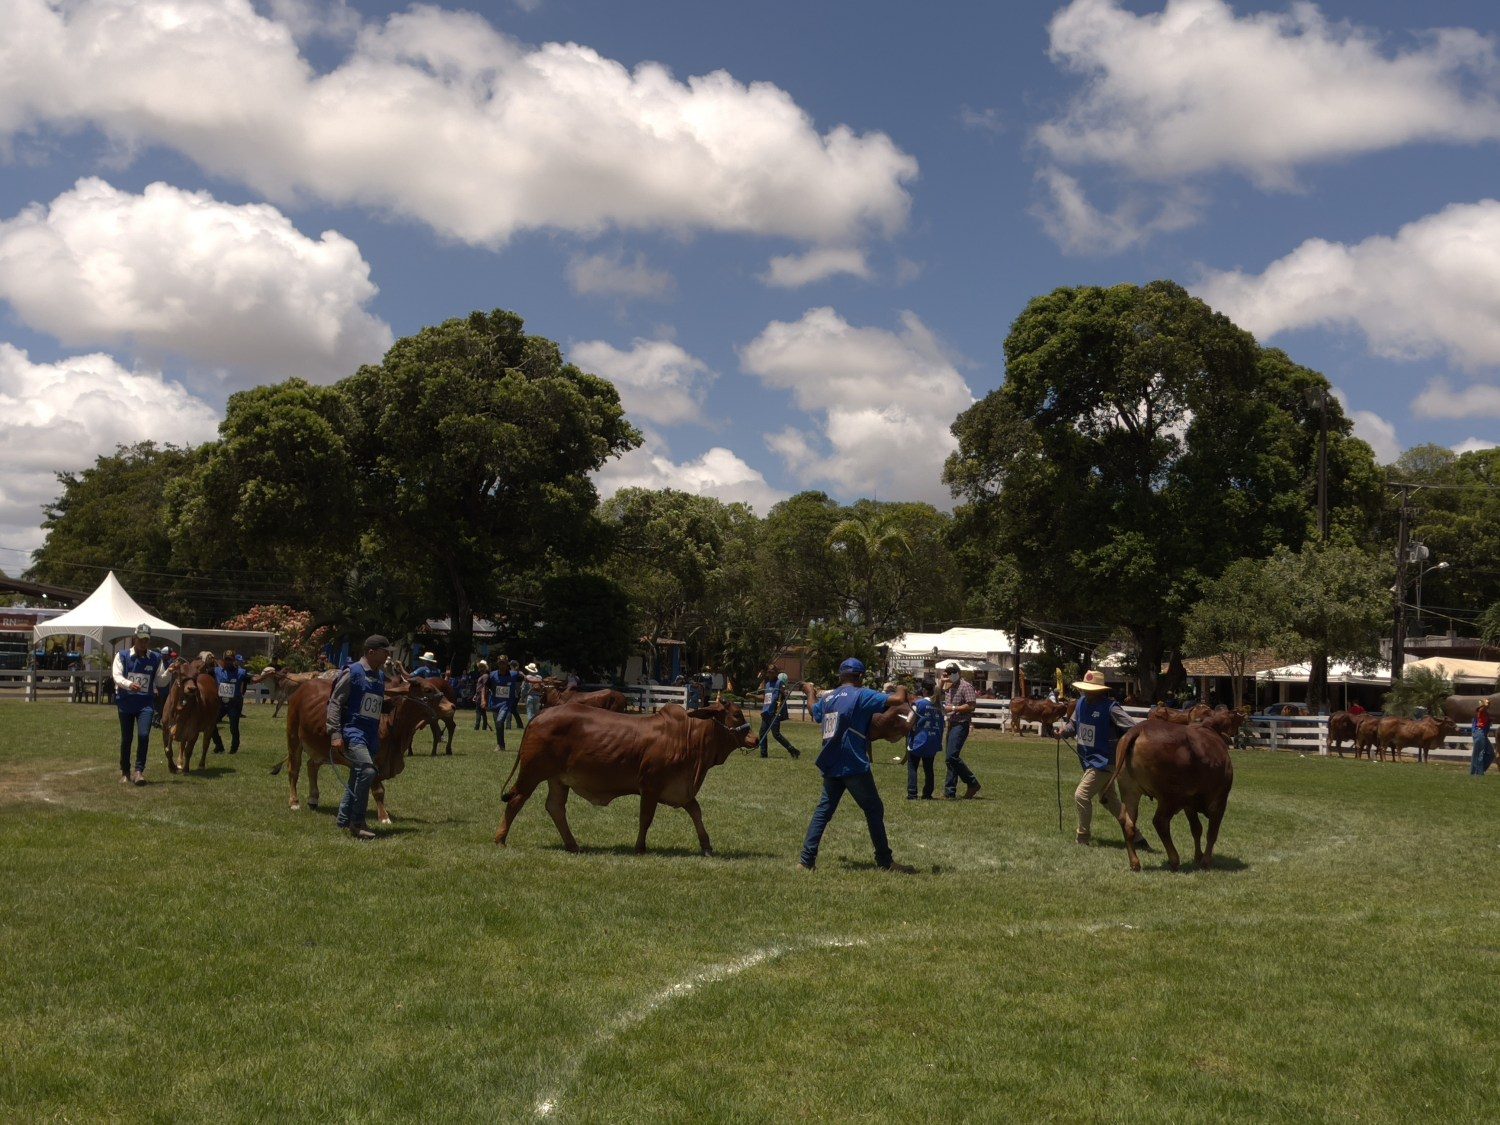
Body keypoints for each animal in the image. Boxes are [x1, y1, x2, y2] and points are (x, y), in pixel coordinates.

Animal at [273, 675, 450, 822]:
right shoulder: (372, 761)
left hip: (321, 747)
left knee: (312, 766)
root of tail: (303, 687)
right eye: (427, 690)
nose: (452, 706)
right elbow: (378, 790)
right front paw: (384, 817)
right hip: (293, 737)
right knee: (294, 769)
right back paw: (294, 802)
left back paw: (313, 799)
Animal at [492, 705, 756, 852]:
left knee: (555, 807)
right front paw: (640, 848)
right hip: (532, 773)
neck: (688, 736)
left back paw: (573, 845)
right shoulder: (650, 786)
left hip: (558, 779)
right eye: (736, 714)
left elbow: (696, 812)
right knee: (516, 800)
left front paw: (706, 845)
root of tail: (541, 713)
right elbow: (646, 819)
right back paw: (500, 840)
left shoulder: (680, 791)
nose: (754, 739)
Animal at [1104, 717, 1230, 876]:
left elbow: (1196, 829)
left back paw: (1135, 863)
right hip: (1169, 798)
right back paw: (1174, 860)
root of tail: (1138, 729)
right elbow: (1212, 833)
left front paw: (1198, 856)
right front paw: (1206, 861)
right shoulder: (1219, 801)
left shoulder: (1189, 806)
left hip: (1129, 791)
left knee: (1128, 823)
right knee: (1160, 822)